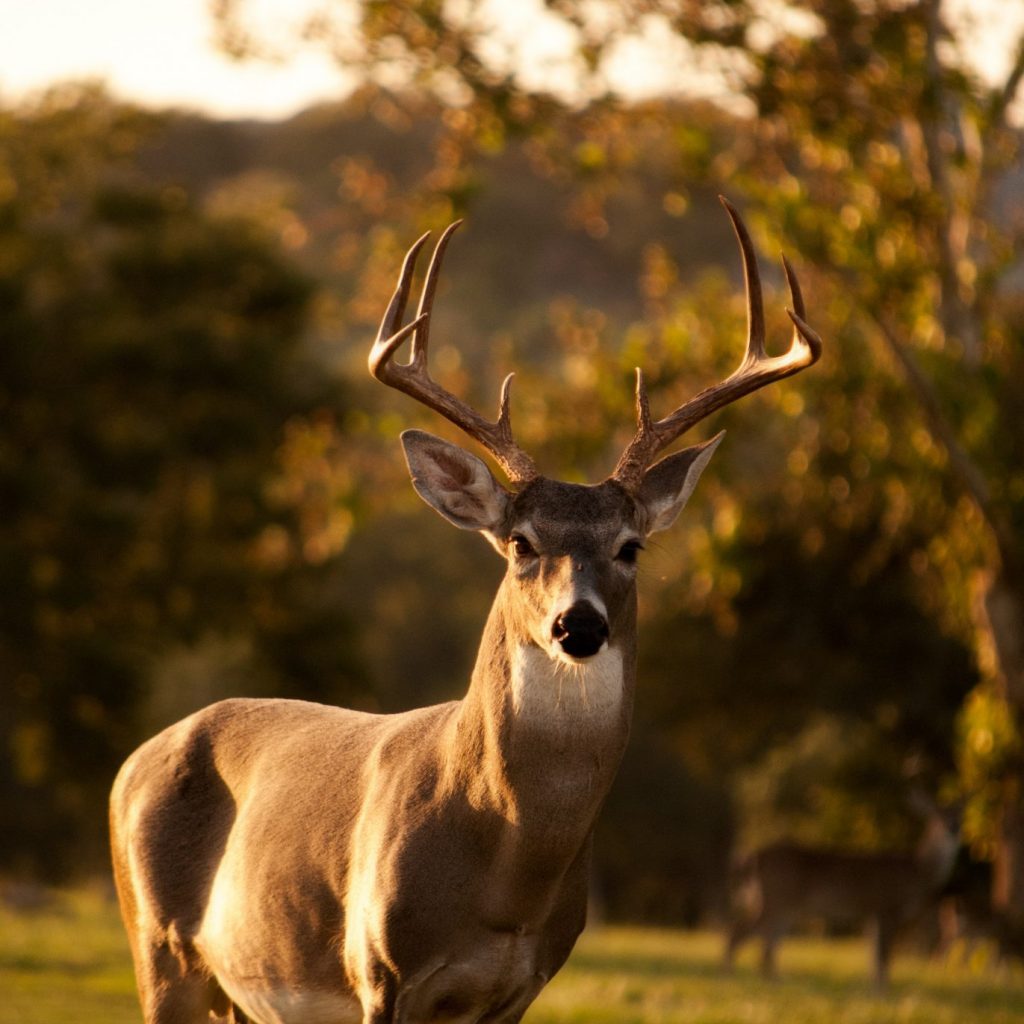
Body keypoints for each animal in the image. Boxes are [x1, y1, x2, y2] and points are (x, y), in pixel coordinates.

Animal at [109, 198, 821, 1024]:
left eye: (632, 546)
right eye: (520, 542)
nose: (579, 625)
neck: (505, 873)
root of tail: (133, 762)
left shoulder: (521, 987)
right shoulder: (377, 971)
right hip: (158, 947)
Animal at [723, 799, 960, 990]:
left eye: (958, 814)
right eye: (937, 816)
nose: (954, 828)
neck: (918, 872)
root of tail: (750, 858)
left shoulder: (872, 914)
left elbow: (873, 953)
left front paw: (874, 989)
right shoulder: (885, 908)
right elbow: (882, 954)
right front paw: (882, 991)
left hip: (780, 905)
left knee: (766, 941)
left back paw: (771, 980)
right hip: (776, 900)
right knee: (743, 932)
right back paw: (733, 976)